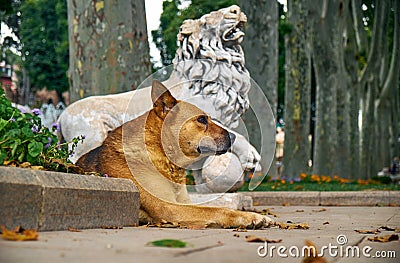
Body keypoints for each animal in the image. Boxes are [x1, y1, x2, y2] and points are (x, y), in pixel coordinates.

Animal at [77, 80, 272, 229]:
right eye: (202, 119)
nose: (233, 137)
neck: (163, 155)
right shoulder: (168, 207)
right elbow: (217, 210)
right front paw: (250, 217)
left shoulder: (185, 203)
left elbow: (210, 207)